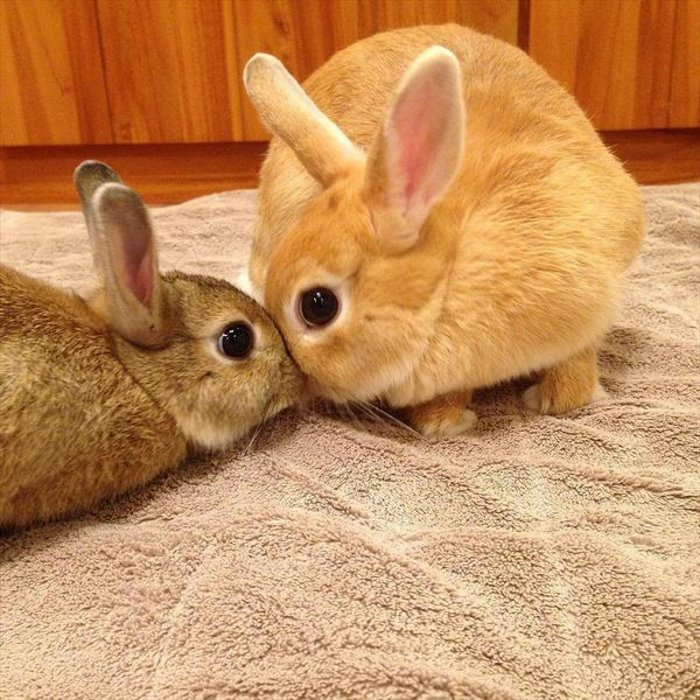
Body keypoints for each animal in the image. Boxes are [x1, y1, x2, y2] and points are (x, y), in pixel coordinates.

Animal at [242, 24, 644, 437]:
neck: (449, 280)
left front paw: (551, 398)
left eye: (318, 305)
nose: (298, 380)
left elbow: (577, 363)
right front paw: (445, 420)